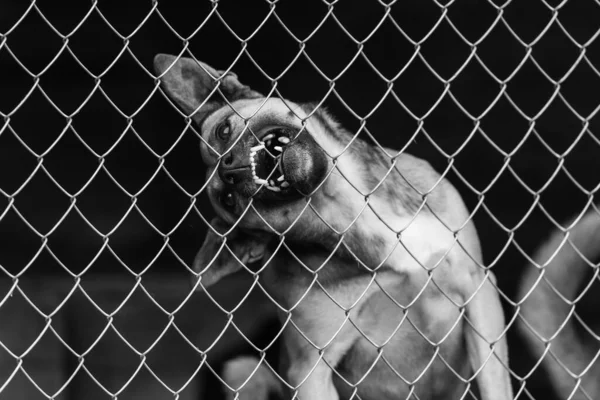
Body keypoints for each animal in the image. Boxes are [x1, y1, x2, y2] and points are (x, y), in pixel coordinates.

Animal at [154, 54, 510, 400]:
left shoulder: (477, 288)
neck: (350, 207)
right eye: (228, 200)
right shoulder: (309, 371)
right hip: (241, 369)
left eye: (223, 131)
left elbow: (495, 385)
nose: (229, 169)